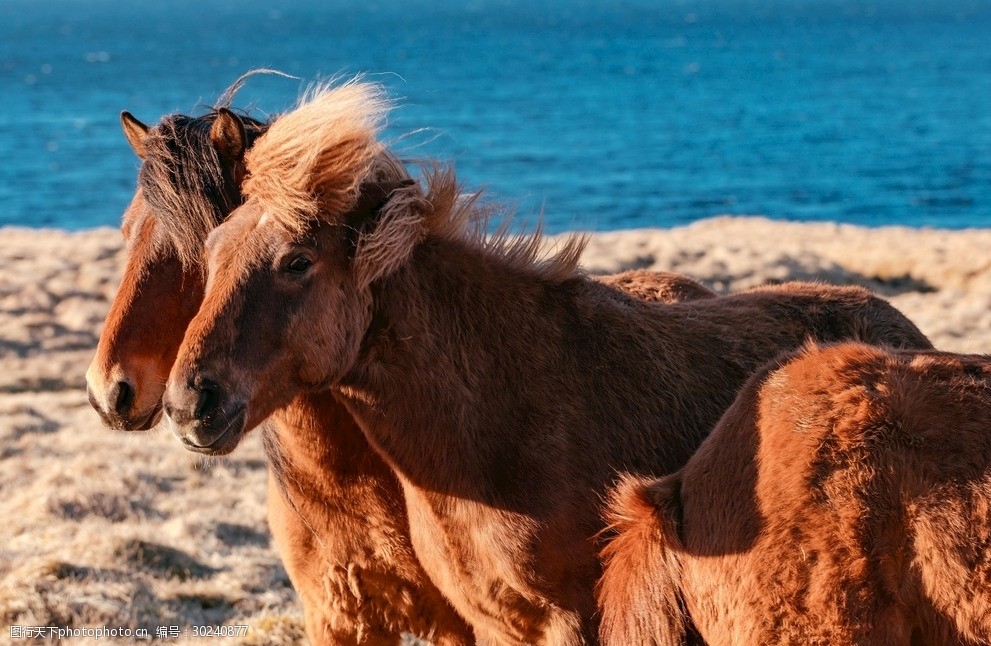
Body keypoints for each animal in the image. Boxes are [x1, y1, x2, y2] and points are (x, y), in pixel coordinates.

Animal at [83, 78, 720, 644]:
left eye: (198, 243)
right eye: (126, 231)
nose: (110, 391)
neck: (350, 485)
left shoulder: (464, 624)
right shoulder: (337, 619)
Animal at [163, 82, 936, 646]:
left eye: (297, 263)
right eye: (212, 254)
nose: (189, 403)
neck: (500, 414)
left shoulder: (575, 621)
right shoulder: (492, 624)